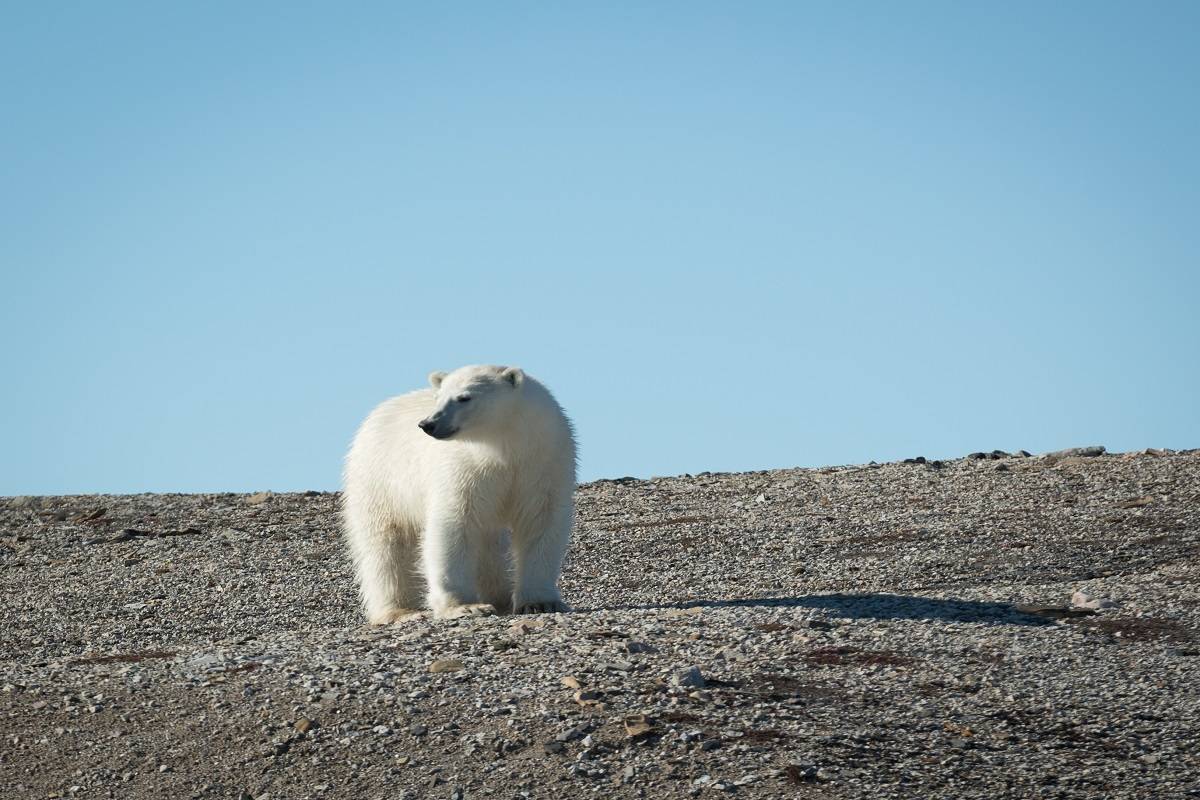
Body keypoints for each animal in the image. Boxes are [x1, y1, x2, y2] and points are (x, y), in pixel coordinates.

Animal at [343, 367, 576, 623]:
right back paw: (400, 611)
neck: (503, 446)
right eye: (438, 397)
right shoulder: (463, 469)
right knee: (386, 545)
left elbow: (540, 521)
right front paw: (465, 606)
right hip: (381, 481)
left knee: (489, 544)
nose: (428, 423)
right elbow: (454, 524)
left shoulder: (543, 461)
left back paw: (499, 597)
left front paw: (540, 602)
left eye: (464, 397)